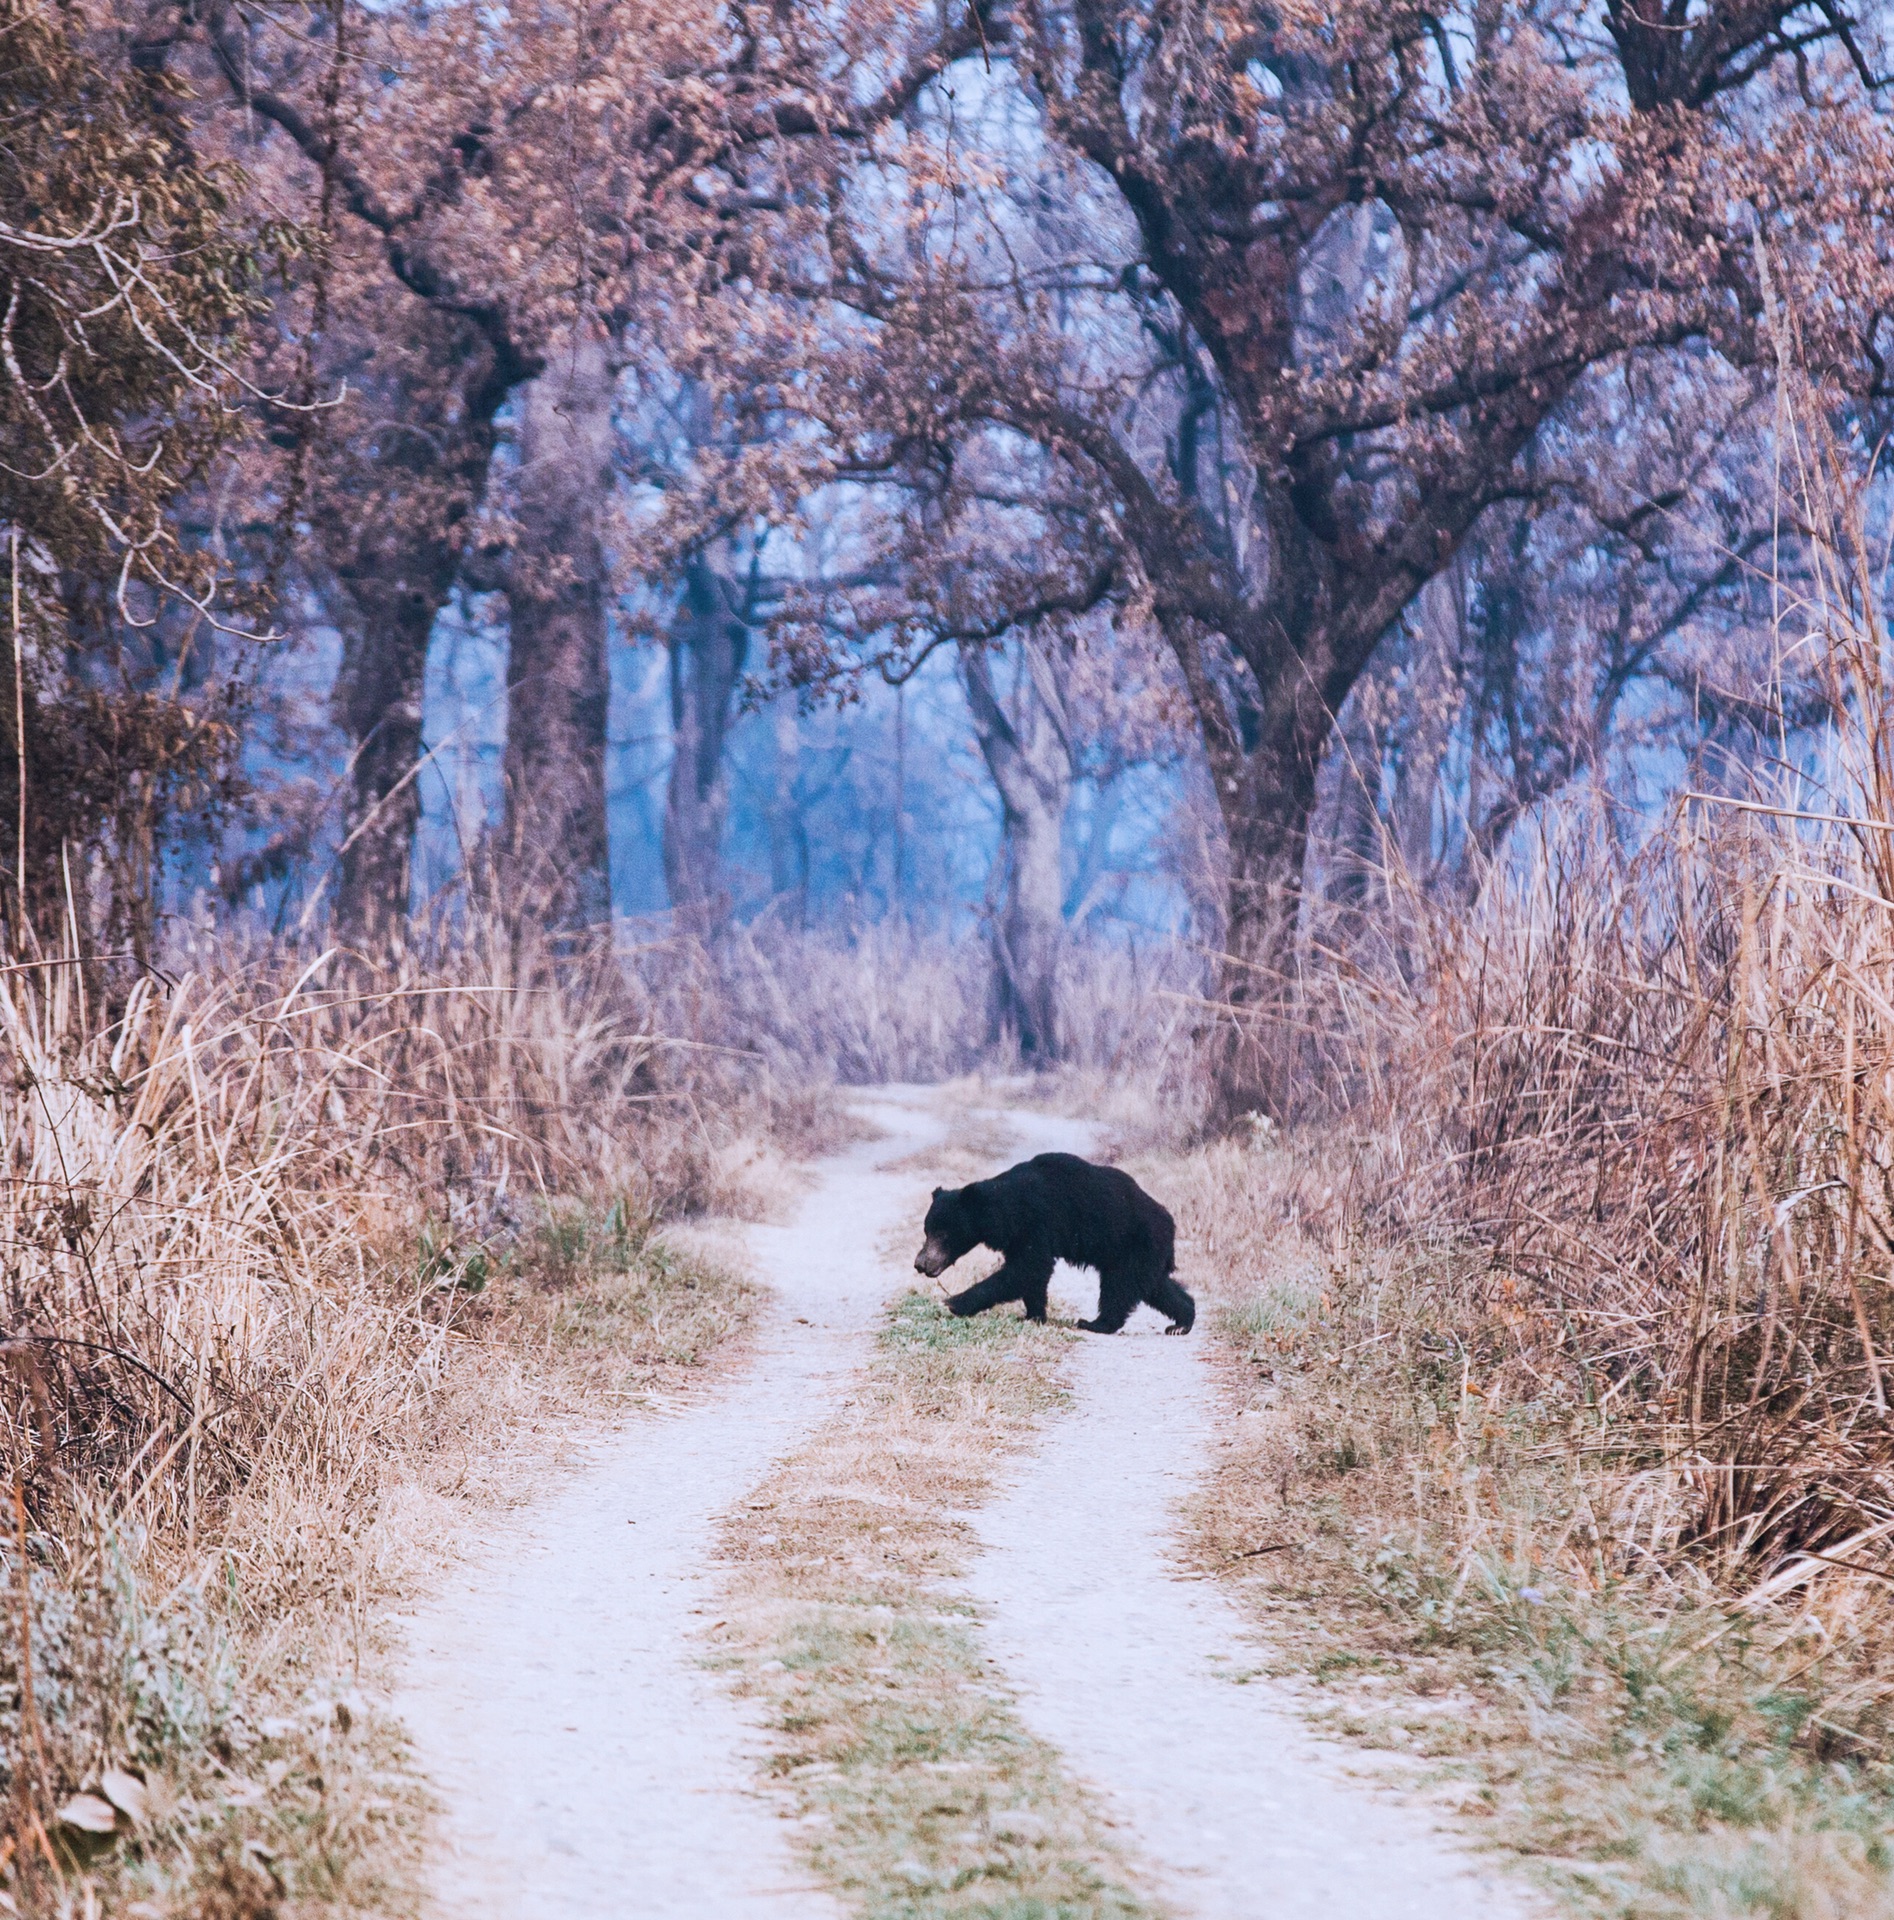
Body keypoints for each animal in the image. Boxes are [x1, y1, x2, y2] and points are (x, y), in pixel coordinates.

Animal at [906, 1152, 1190, 1336]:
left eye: (942, 1234)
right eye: (926, 1230)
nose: (920, 1264)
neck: (1005, 1210)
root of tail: (1169, 1222)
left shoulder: (1037, 1221)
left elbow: (1029, 1268)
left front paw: (955, 1302)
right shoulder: (1017, 1236)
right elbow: (1031, 1274)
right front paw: (1034, 1315)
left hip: (1134, 1243)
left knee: (1119, 1287)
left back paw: (1095, 1323)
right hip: (1139, 1253)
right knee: (1155, 1286)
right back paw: (1181, 1321)